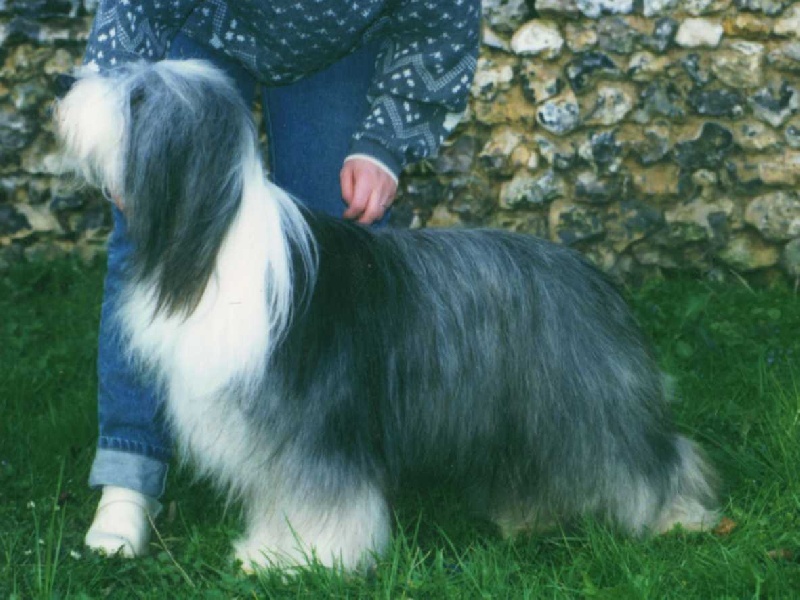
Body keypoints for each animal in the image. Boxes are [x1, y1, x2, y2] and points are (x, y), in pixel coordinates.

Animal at [54, 59, 720, 572]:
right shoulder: (273, 434)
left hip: (590, 405)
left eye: (140, 97)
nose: (63, 83)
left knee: (652, 460)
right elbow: (278, 496)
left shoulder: (314, 430)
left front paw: (309, 560)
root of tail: (596, 277)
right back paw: (527, 519)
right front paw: (267, 553)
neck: (212, 242)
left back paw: (678, 518)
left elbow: (320, 497)